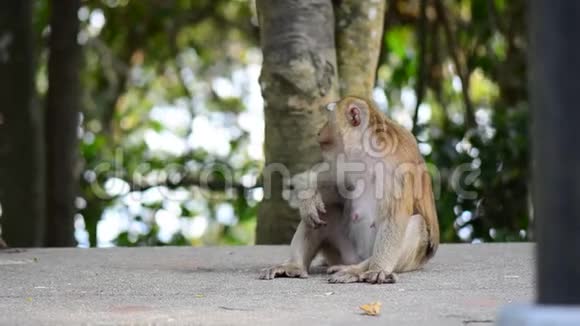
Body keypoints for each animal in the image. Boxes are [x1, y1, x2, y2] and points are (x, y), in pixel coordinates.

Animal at [260, 95, 440, 282]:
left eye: (329, 119)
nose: (319, 132)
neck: (370, 153)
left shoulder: (398, 170)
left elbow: (394, 219)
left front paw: (378, 268)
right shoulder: (349, 161)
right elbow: (335, 183)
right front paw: (308, 194)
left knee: (417, 224)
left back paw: (358, 270)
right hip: (344, 254)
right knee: (326, 212)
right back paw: (294, 265)